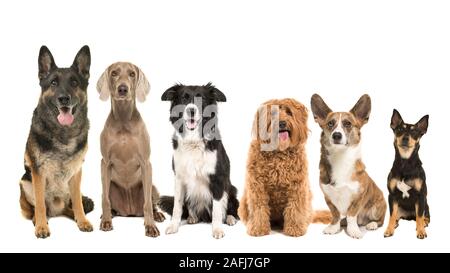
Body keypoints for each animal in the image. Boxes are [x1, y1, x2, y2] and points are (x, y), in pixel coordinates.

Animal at [96, 61, 165, 236]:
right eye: (114, 73)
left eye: (132, 74)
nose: (123, 89)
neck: (123, 121)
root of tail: (130, 212)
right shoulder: (105, 163)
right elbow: (105, 201)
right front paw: (106, 221)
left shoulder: (146, 163)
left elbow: (147, 204)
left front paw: (150, 226)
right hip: (109, 186)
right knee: (106, 198)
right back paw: (108, 215)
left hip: (153, 187)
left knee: (151, 203)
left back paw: (157, 215)